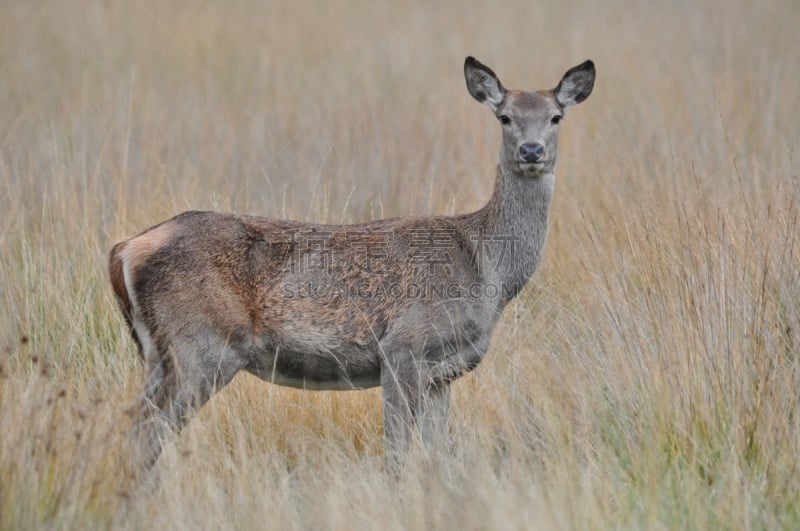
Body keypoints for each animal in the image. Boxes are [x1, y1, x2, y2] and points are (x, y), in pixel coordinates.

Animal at [108, 56, 592, 468]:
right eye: (504, 116)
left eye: (556, 116)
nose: (531, 150)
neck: (485, 265)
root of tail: (126, 248)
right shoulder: (403, 347)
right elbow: (398, 453)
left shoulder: (442, 375)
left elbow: (440, 457)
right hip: (201, 347)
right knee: (145, 433)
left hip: (160, 354)